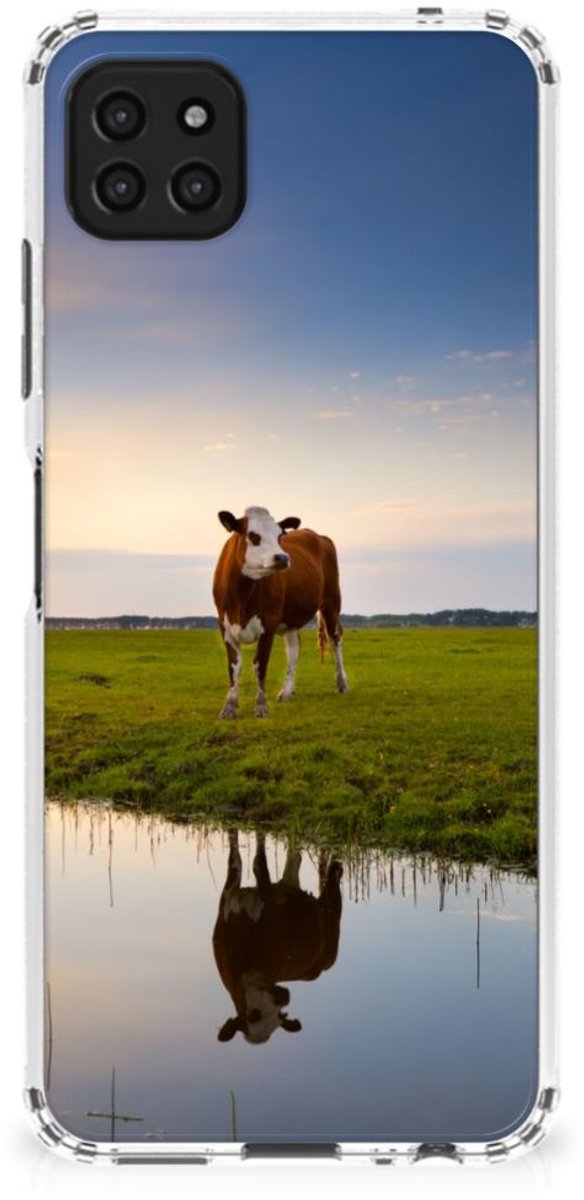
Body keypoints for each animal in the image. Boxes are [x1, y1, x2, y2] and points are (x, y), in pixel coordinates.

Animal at [212, 506, 348, 718]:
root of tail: (319, 536)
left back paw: (341, 683)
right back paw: (286, 691)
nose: (283, 557)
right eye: (253, 536)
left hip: (331, 602)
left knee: (336, 640)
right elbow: (234, 667)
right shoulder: (225, 626)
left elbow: (260, 665)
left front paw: (261, 706)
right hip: (291, 617)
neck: (241, 597)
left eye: (279, 536)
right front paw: (229, 707)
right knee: (294, 649)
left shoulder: (268, 624)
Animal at [213, 830, 343, 1045]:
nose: (284, 998)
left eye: (279, 1017)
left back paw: (335, 869)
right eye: (253, 1016)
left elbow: (258, 863)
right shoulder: (228, 897)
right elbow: (235, 858)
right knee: (295, 857)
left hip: (332, 925)